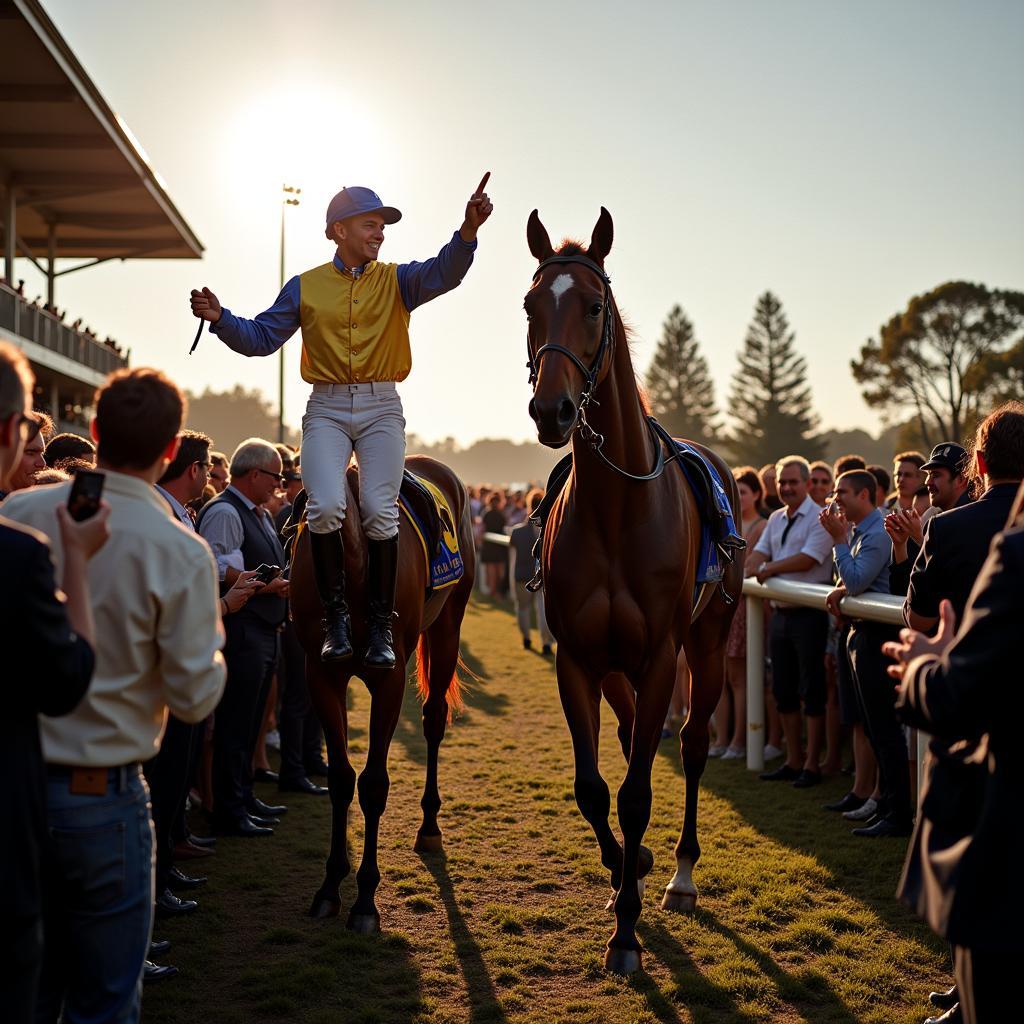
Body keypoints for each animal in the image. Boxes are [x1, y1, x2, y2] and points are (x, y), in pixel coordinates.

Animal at [290, 454, 473, 929]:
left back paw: (429, 827)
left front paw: (366, 900)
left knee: (433, 721)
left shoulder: (388, 680)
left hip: (448, 627)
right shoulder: (321, 675)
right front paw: (330, 887)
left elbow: (373, 784)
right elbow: (341, 778)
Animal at [524, 207, 741, 974]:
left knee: (696, 744)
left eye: (594, 306)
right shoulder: (578, 659)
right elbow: (594, 790)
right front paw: (625, 875)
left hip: (707, 644)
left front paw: (627, 931)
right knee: (625, 739)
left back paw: (681, 873)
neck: (618, 507)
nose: (553, 410)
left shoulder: (659, 659)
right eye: (530, 305)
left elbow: (640, 791)